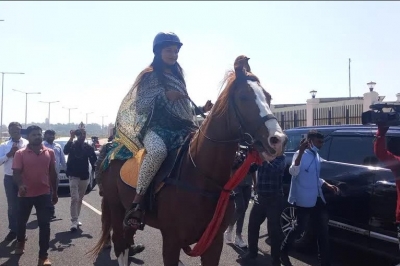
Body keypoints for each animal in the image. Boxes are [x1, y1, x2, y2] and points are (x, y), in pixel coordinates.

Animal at [89, 56, 286, 266]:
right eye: (244, 97)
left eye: (268, 97)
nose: (278, 140)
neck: (201, 177)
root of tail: (112, 150)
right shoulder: (171, 241)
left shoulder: (213, 243)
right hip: (116, 208)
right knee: (120, 245)